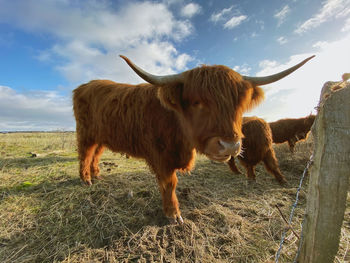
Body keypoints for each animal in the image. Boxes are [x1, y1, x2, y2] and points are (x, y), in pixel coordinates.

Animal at [72, 55, 314, 225]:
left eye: (238, 104)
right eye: (197, 102)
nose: (230, 145)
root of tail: (84, 86)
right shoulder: (161, 156)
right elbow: (169, 184)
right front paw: (173, 215)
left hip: (101, 136)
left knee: (96, 154)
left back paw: (97, 175)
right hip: (86, 133)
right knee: (85, 153)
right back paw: (86, 179)